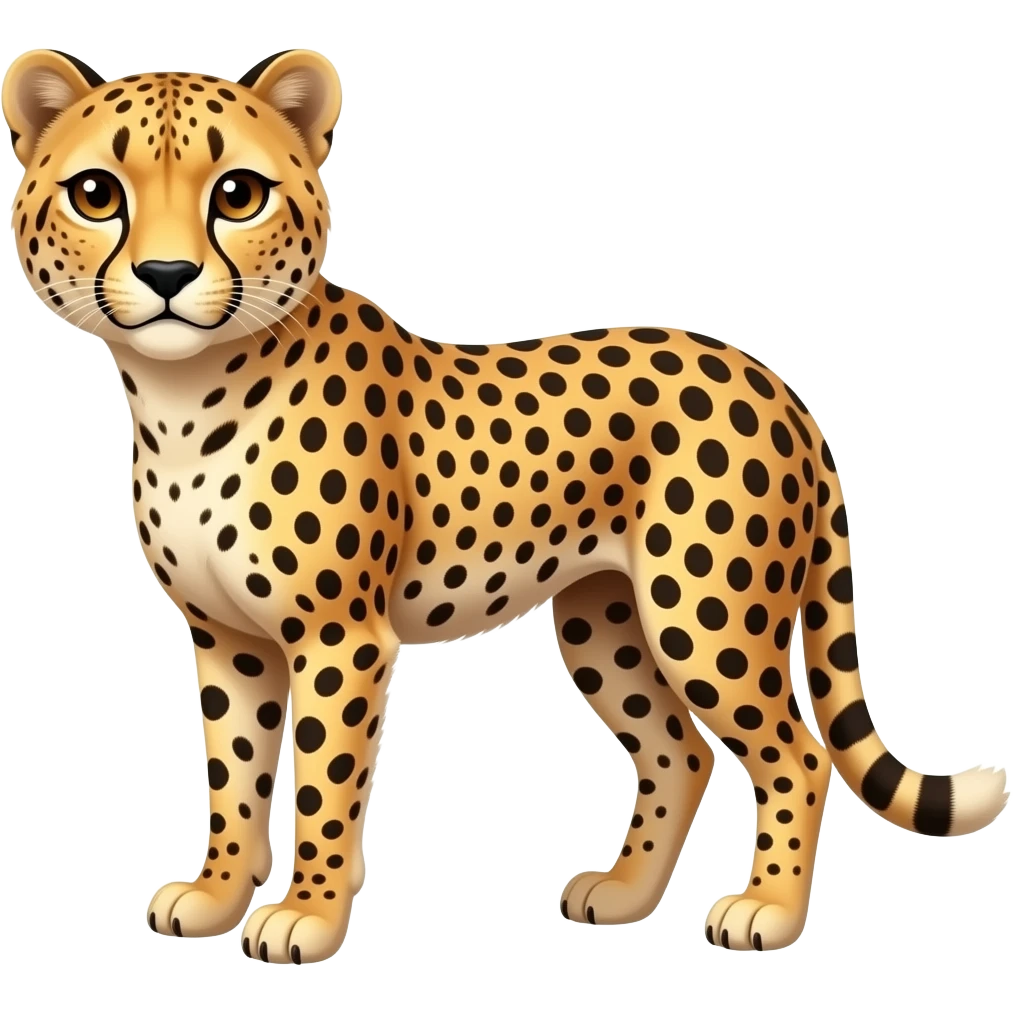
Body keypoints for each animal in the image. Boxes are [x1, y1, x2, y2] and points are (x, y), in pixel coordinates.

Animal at [4, 45, 1008, 965]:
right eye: (96, 193)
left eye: (238, 194)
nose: (168, 275)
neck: (183, 394)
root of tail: (769, 379)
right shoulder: (228, 638)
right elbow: (234, 775)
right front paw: (216, 894)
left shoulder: (339, 636)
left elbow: (324, 783)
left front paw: (307, 916)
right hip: (605, 620)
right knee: (679, 751)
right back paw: (624, 893)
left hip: (705, 617)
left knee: (794, 752)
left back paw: (765, 910)